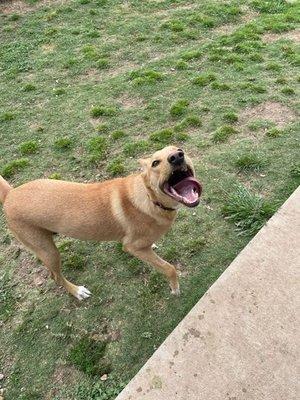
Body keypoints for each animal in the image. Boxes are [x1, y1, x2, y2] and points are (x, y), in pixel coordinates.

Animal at [0, 145, 202, 298]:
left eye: (180, 149)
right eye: (155, 163)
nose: (177, 157)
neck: (150, 198)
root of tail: (10, 194)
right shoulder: (133, 247)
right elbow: (169, 268)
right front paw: (175, 288)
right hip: (48, 251)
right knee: (56, 276)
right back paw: (77, 292)